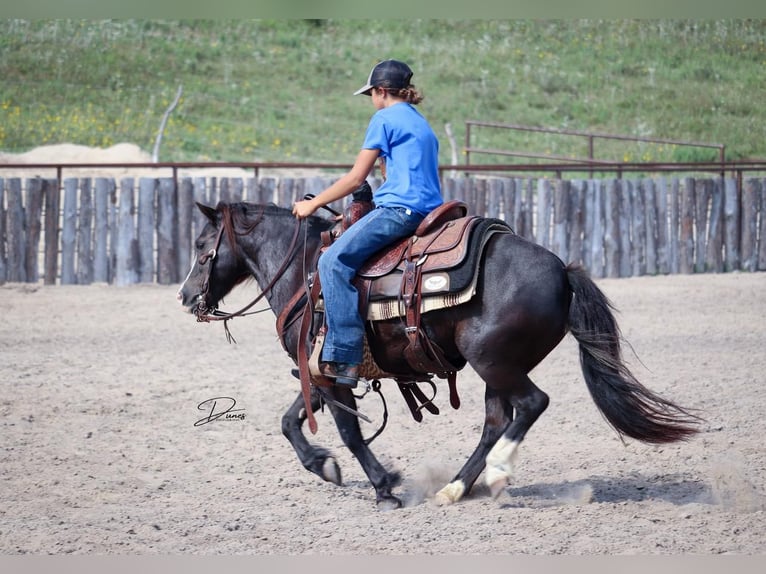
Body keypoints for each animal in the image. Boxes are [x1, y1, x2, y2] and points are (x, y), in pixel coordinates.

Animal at [178, 200, 704, 510]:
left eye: (203, 246)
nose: (185, 296)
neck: (307, 272)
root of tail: (563, 270)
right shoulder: (321, 370)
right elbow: (291, 421)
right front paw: (325, 467)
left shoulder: (329, 369)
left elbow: (348, 431)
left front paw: (383, 486)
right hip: (500, 366)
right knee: (498, 419)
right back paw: (456, 487)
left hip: (493, 360)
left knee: (530, 405)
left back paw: (495, 474)